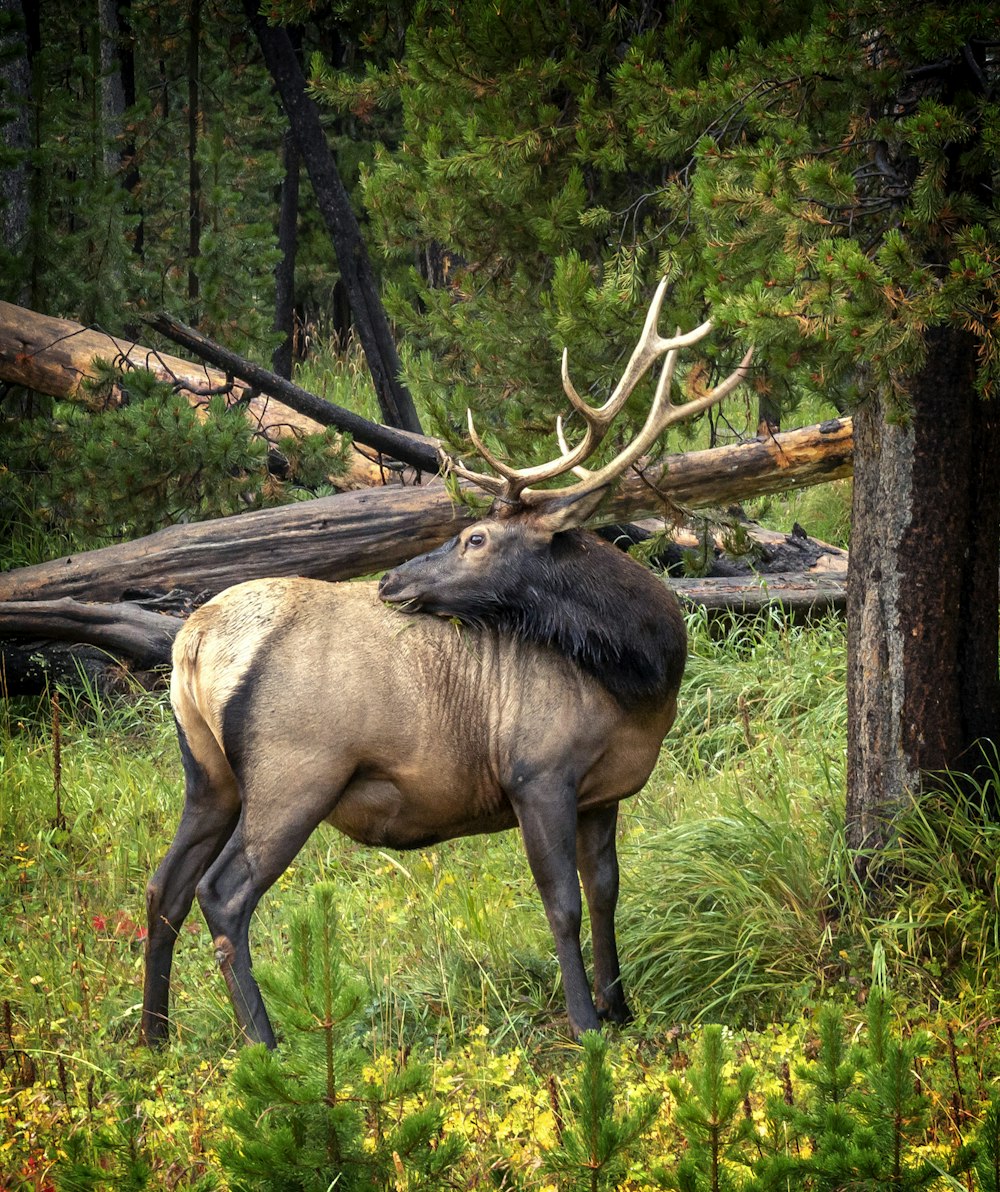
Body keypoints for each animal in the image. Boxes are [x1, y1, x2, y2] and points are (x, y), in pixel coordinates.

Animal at [140, 283, 753, 1048]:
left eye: (475, 538)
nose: (389, 580)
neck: (641, 683)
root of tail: (192, 640)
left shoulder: (603, 792)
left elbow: (607, 893)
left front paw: (622, 1007)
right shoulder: (536, 772)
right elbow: (563, 904)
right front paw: (586, 1023)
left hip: (209, 774)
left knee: (163, 886)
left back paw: (154, 1036)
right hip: (296, 772)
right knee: (222, 894)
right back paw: (266, 1042)